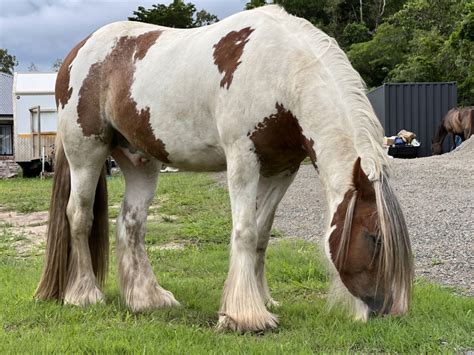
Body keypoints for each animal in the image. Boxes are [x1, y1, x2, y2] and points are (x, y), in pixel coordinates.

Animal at [35, 5, 412, 332]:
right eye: (376, 238)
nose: (387, 310)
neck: (280, 70)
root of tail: (77, 52)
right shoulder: (243, 159)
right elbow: (244, 231)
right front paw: (246, 315)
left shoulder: (281, 170)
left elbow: (261, 235)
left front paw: (263, 300)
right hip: (87, 153)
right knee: (79, 217)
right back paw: (85, 295)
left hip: (140, 162)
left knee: (131, 223)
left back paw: (148, 299)